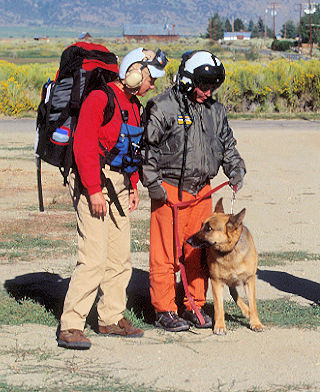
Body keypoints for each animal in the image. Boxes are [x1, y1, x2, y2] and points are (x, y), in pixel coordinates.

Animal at [186, 198, 264, 336]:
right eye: (201, 226)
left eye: (209, 229)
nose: (188, 241)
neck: (230, 251)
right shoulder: (216, 282)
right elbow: (219, 307)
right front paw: (219, 326)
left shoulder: (249, 280)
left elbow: (253, 304)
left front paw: (255, 323)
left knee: (234, 293)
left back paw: (246, 310)